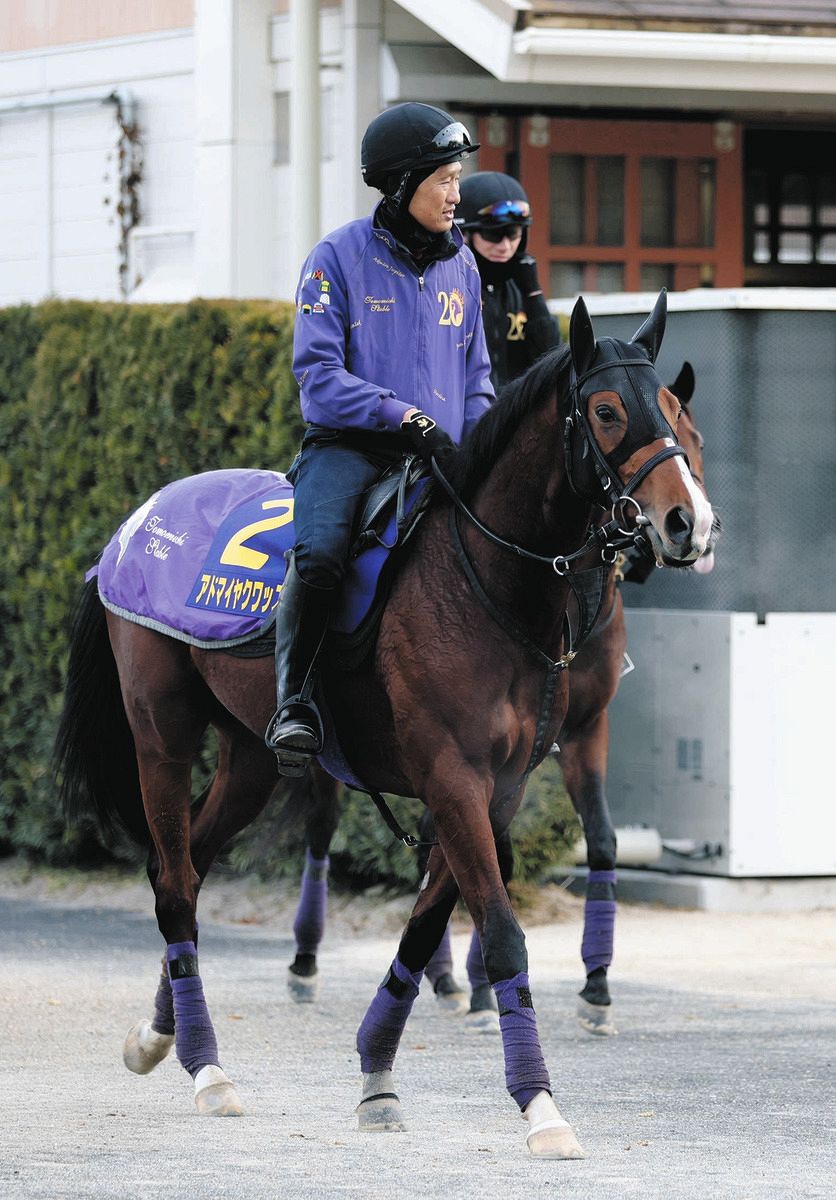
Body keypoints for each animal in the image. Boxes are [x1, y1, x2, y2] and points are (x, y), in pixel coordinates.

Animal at [283, 362, 719, 1039]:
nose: (692, 527)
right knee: (321, 828)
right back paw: (307, 963)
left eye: (690, 431)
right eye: (607, 413)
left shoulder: (580, 729)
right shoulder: (463, 758)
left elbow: (597, 840)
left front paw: (594, 985)